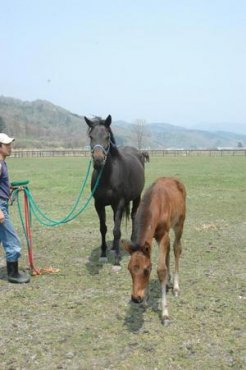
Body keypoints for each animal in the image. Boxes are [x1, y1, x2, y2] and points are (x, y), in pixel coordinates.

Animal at [85, 114, 146, 268]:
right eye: (91, 136)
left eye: (107, 136)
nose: (98, 160)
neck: (108, 176)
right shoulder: (99, 204)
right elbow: (104, 228)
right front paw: (103, 254)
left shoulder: (119, 203)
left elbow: (117, 231)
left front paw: (117, 260)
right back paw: (113, 247)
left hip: (137, 197)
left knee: (133, 216)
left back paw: (132, 241)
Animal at [122, 176, 185, 324]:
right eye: (129, 269)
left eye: (146, 270)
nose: (136, 298)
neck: (155, 205)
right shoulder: (154, 237)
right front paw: (145, 299)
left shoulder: (163, 234)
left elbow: (161, 270)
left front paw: (165, 314)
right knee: (169, 249)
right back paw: (168, 281)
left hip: (179, 223)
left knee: (176, 248)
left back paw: (176, 287)